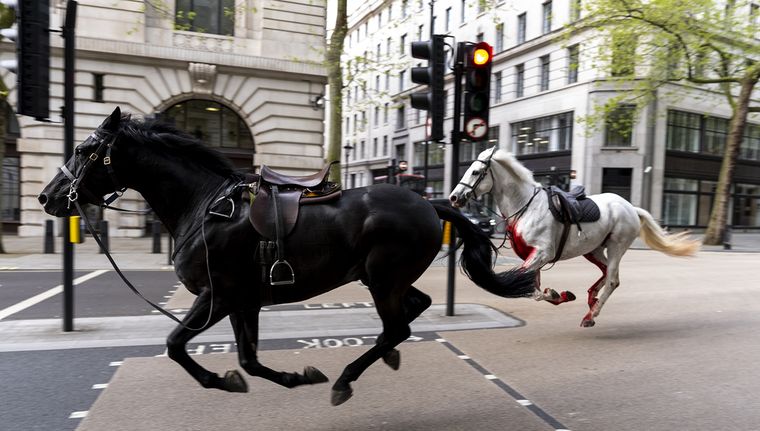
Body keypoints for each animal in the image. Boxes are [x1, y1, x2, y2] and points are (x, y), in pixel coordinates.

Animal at [38, 108, 536, 405]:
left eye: (83, 149)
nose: (47, 197)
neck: (204, 207)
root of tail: (429, 204)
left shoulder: (217, 296)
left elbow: (177, 344)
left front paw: (220, 380)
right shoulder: (243, 302)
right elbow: (248, 360)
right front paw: (292, 377)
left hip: (381, 278)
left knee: (398, 325)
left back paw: (347, 378)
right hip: (381, 278)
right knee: (413, 310)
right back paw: (384, 356)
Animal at [449, 148, 700, 327]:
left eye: (475, 172)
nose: (454, 197)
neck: (526, 207)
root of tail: (630, 207)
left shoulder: (542, 253)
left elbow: (527, 288)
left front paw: (555, 294)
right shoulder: (533, 256)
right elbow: (532, 288)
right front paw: (559, 294)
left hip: (617, 246)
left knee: (612, 279)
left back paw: (591, 314)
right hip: (594, 249)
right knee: (606, 273)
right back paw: (592, 301)